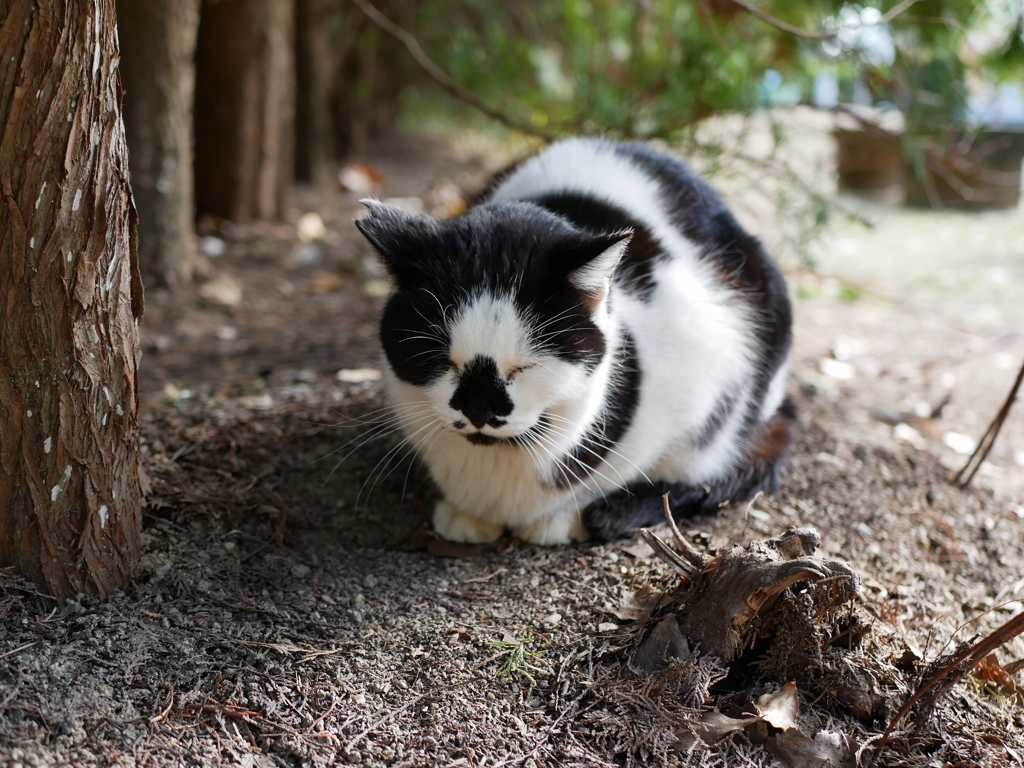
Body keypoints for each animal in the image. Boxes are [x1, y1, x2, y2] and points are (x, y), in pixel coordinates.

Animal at [356, 138, 794, 548]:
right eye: (441, 360)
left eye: (525, 366)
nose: (479, 410)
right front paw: (466, 517)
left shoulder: (713, 368)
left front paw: (566, 518)